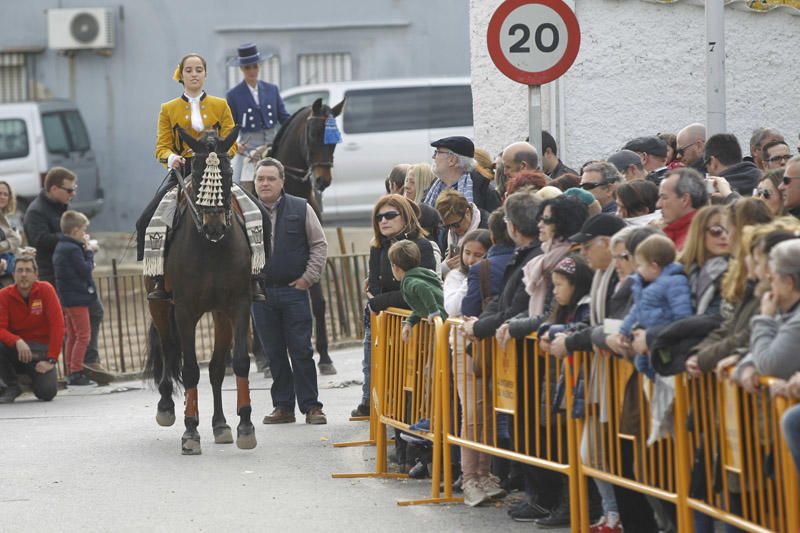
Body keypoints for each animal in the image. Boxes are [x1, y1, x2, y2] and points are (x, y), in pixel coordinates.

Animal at [144, 124, 256, 454]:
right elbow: (191, 368)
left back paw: (220, 425)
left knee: (217, 368)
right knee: (169, 349)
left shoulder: (237, 305)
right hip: (159, 305)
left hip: (219, 315)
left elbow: (238, 362)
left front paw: (245, 425)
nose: (214, 226)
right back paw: (166, 408)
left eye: (229, 172)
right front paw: (190, 430)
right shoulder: (184, 310)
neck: (212, 248)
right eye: (194, 170)